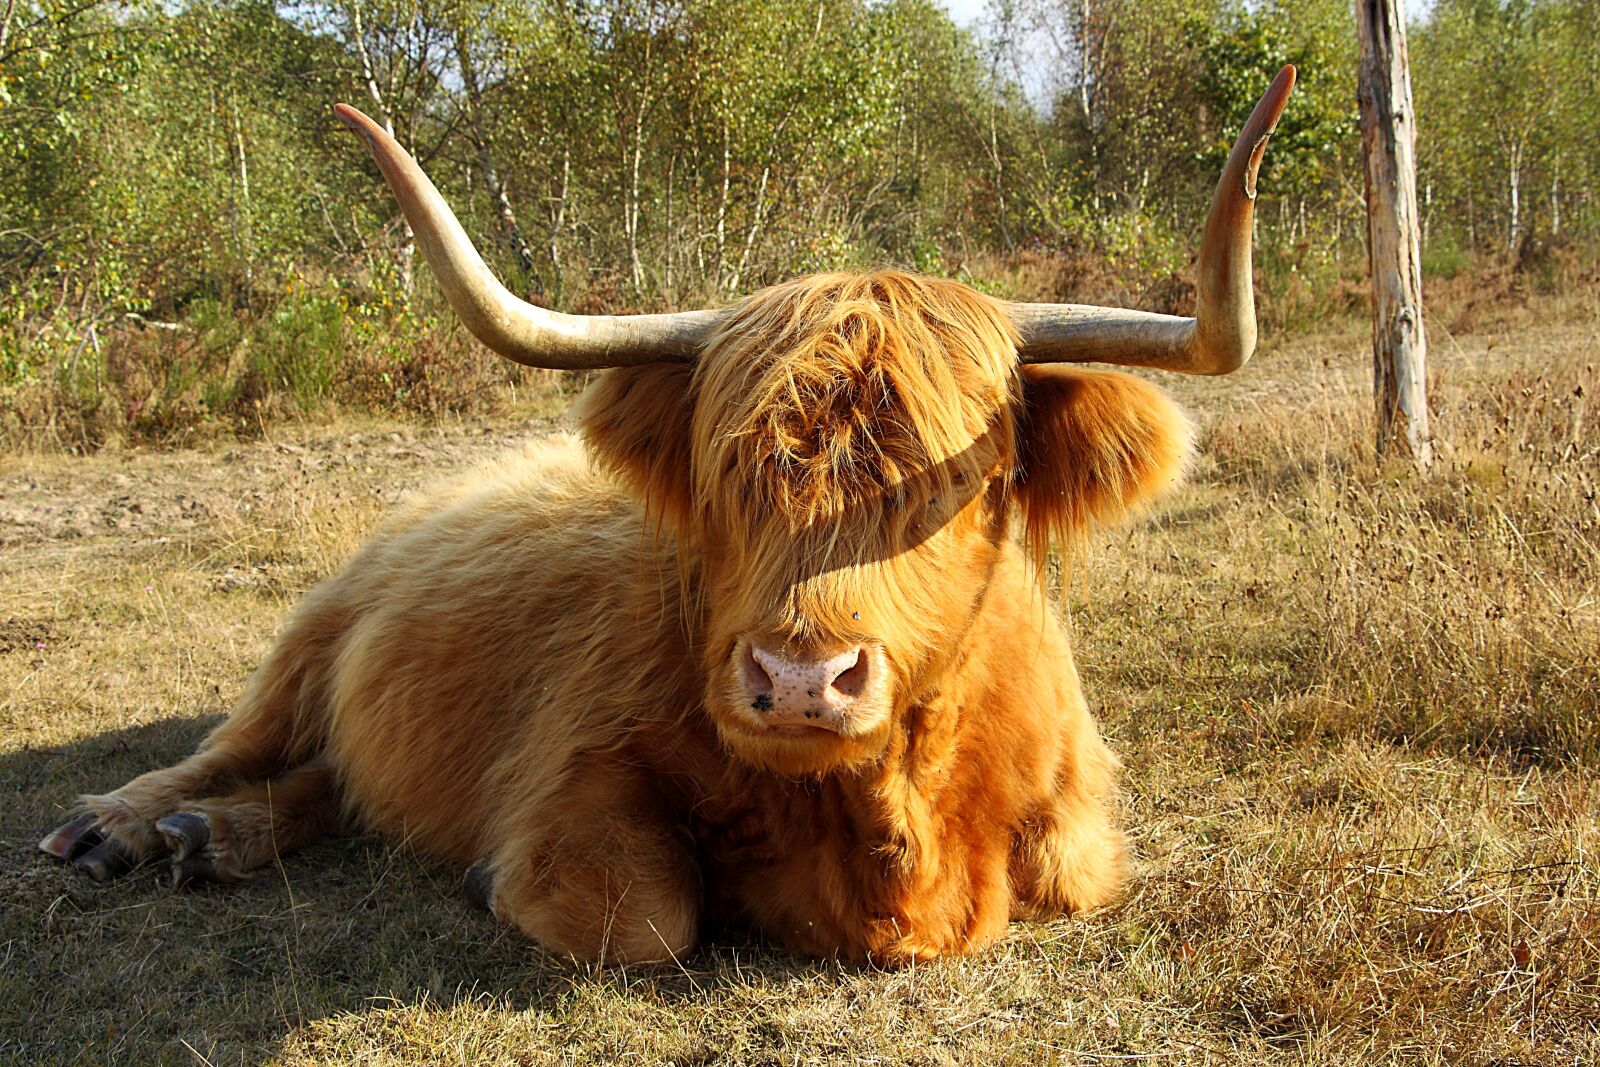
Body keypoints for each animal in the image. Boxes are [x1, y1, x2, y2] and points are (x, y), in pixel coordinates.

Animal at [40, 68, 1295, 965]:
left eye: (968, 480)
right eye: (728, 468)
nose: (799, 678)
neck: (890, 837)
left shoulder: (1079, 832)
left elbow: (1074, 870)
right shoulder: (575, 780)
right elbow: (641, 916)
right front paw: (493, 878)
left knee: (338, 778)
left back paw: (215, 838)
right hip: (310, 636)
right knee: (235, 744)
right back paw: (124, 825)